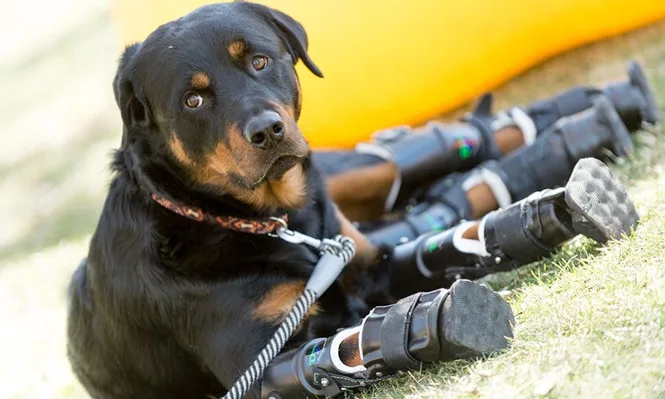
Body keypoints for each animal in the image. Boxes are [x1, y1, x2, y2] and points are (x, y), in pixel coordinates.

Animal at [66, 1, 512, 398]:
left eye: (259, 61)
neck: (274, 222)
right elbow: (333, 353)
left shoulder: (369, 263)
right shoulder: (256, 361)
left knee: (398, 159)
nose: (266, 130)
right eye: (193, 100)